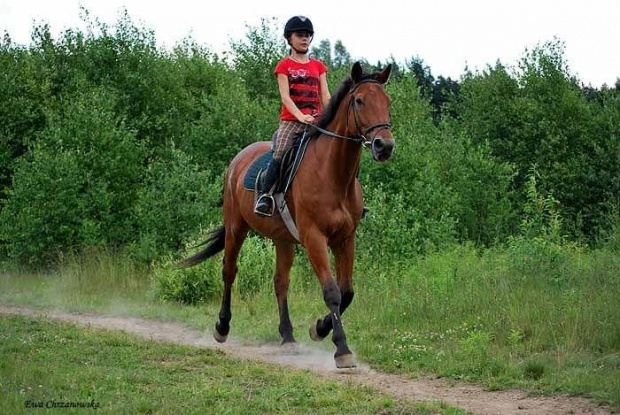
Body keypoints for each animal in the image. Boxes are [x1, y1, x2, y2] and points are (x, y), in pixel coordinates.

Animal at [183, 61, 392, 368]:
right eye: (359, 101)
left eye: (388, 102)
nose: (384, 146)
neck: (334, 176)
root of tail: (238, 160)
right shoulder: (314, 237)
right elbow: (332, 291)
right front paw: (341, 349)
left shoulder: (346, 238)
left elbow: (347, 292)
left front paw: (318, 329)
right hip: (236, 227)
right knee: (229, 271)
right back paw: (222, 327)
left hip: (283, 240)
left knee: (280, 282)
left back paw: (288, 336)